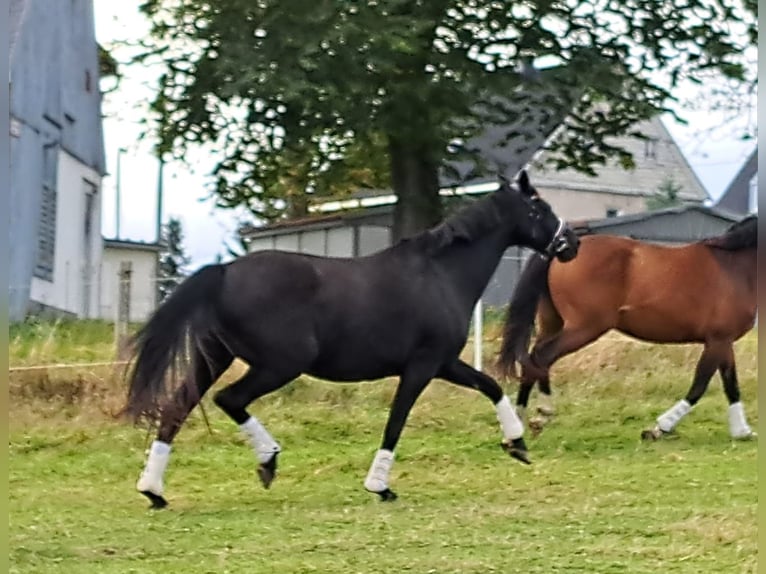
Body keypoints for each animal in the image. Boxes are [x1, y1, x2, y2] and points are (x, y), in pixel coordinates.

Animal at [127, 171, 584, 508]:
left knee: (176, 408)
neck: (441, 274)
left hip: (215, 357)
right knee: (229, 399)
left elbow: (489, 386)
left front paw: (517, 443)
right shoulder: (421, 367)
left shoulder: (445, 363)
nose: (572, 244)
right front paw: (380, 486)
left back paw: (154, 491)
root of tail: (224, 272)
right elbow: (396, 421)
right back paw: (267, 461)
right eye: (539, 207)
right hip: (279, 364)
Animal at [500, 216, 760, 440]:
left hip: (553, 322)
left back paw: (522, 421)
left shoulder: (723, 341)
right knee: (541, 356)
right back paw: (541, 414)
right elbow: (700, 384)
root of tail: (561, 251)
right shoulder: (717, 339)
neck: (734, 267)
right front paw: (660, 428)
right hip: (584, 327)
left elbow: (731, 384)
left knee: (533, 359)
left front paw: (742, 431)